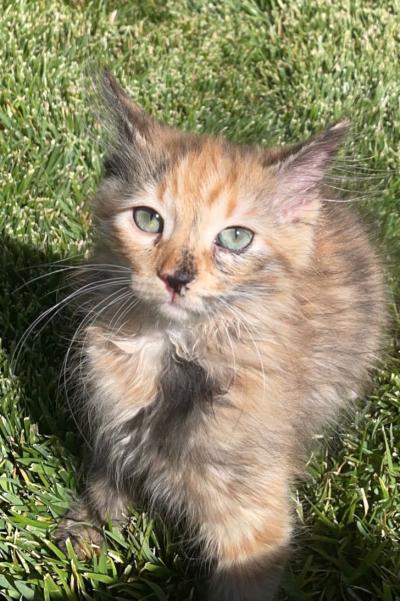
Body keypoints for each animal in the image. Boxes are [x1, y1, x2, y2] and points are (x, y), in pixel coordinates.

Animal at [55, 74, 384, 600]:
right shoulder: (114, 436)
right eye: (148, 219)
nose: (176, 278)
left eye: (234, 238)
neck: (172, 352)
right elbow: (104, 488)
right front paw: (85, 530)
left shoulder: (253, 522)